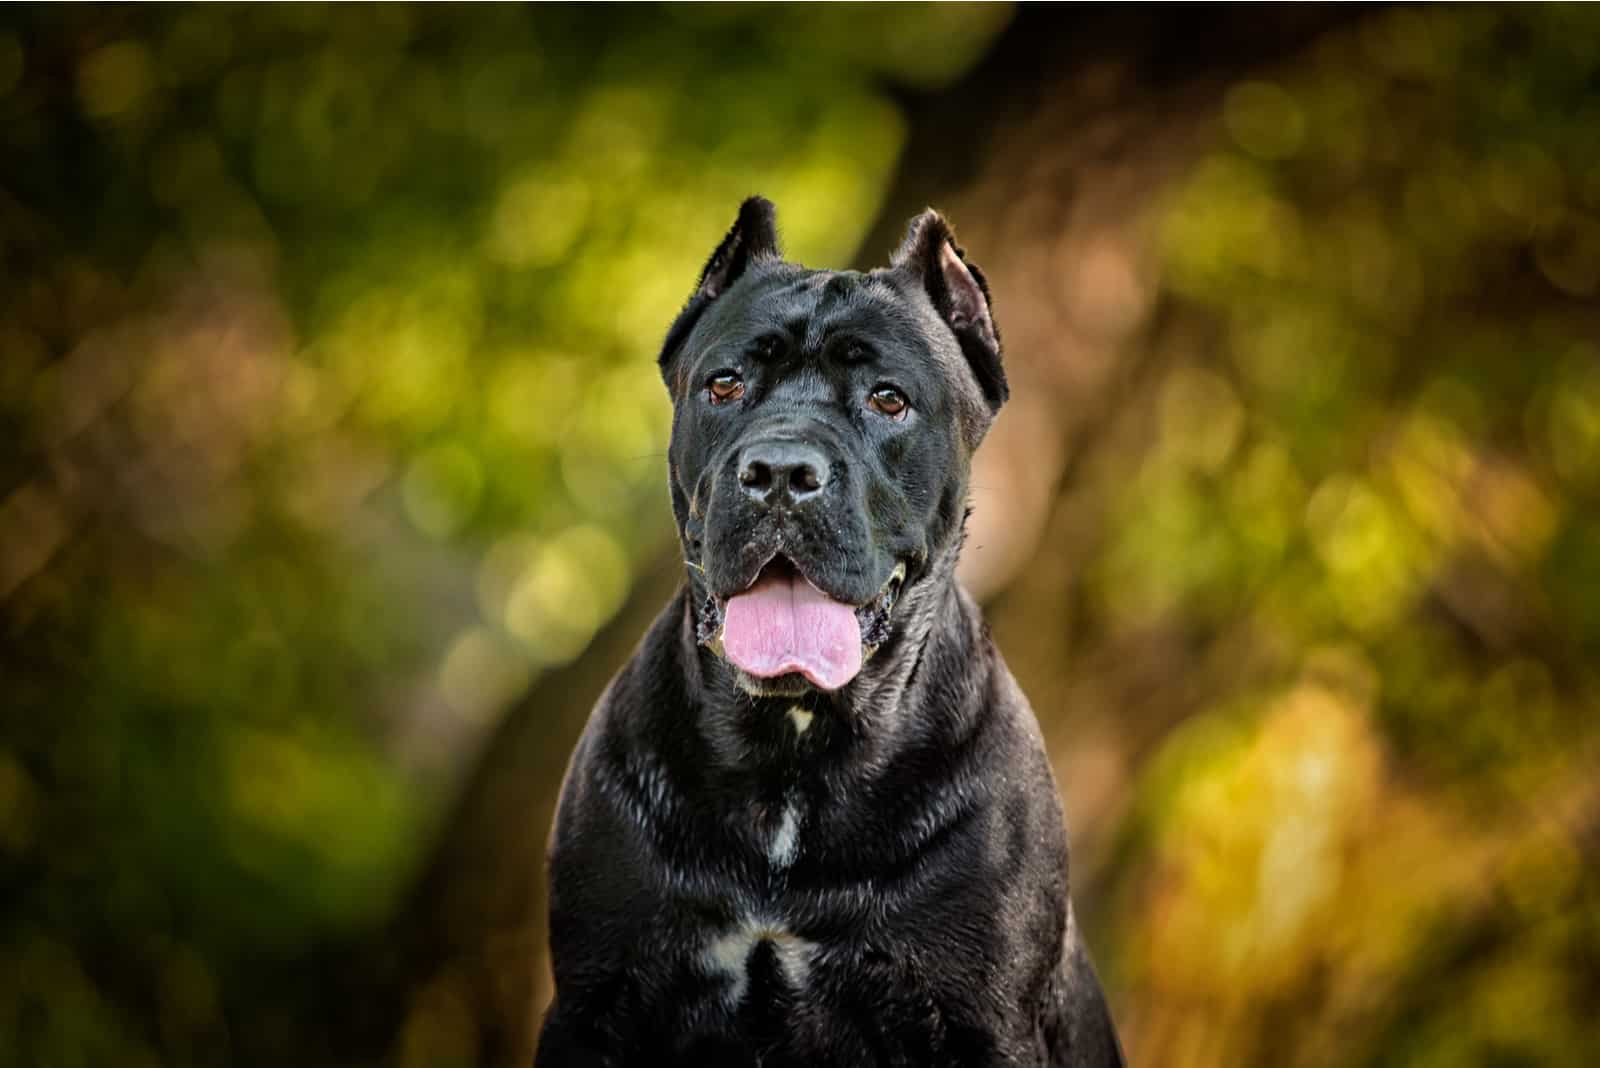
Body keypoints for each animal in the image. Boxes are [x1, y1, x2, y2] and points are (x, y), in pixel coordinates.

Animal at [537, 195, 1126, 1061]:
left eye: (888, 398)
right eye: (724, 384)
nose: (782, 471)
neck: (794, 749)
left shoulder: (982, 1021)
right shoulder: (597, 1004)